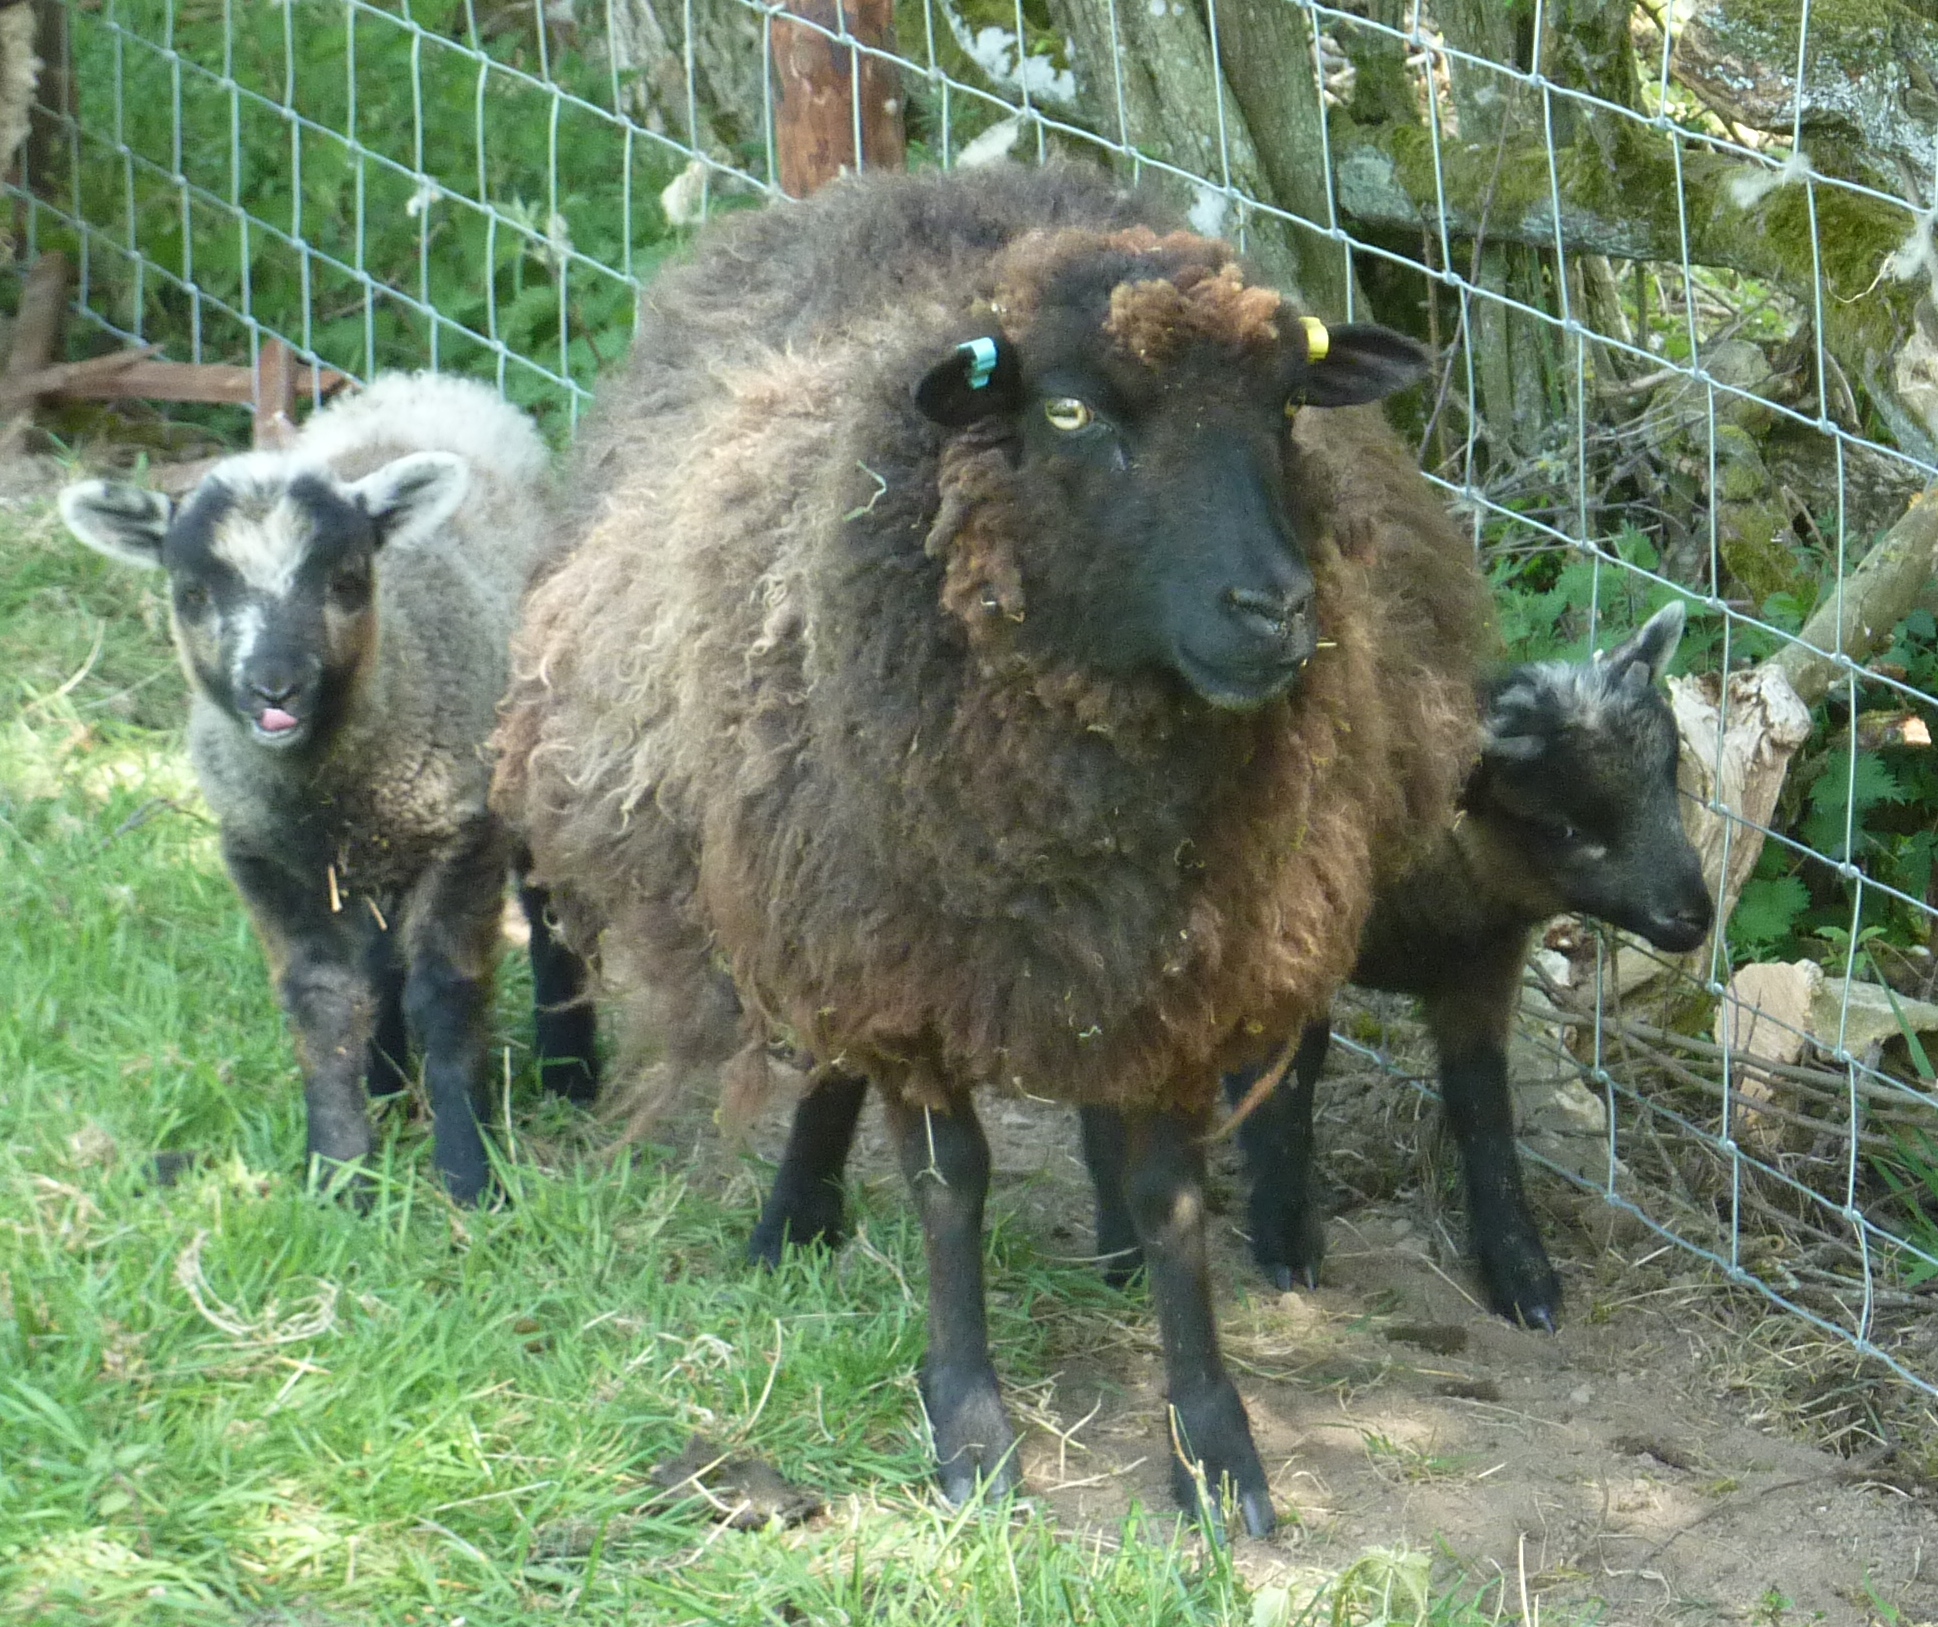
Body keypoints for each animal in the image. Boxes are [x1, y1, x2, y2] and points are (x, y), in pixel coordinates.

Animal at [58, 371, 596, 1208]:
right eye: (192, 592)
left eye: (346, 581)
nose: (274, 687)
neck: (329, 783)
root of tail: (427, 383)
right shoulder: (264, 857)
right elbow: (322, 1002)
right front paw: (341, 1172)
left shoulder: (462, 835)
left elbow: (447, 994)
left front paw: (469, 1176)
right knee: (376, 963)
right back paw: (386, 1082)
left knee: (548, 910)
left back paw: (569, 1068)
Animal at [492, 158, 1488, 1534]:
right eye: (1069, 413)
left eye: (1289, 405)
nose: (1273, 612)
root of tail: (899, 182)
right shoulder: (908, 963)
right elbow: (948, 1183)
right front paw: (968, 1425)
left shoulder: (1187, 967)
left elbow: (1174, 1200)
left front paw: (1214, 1446)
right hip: (829, 883)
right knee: (833, 1065)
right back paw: (793, 1217)